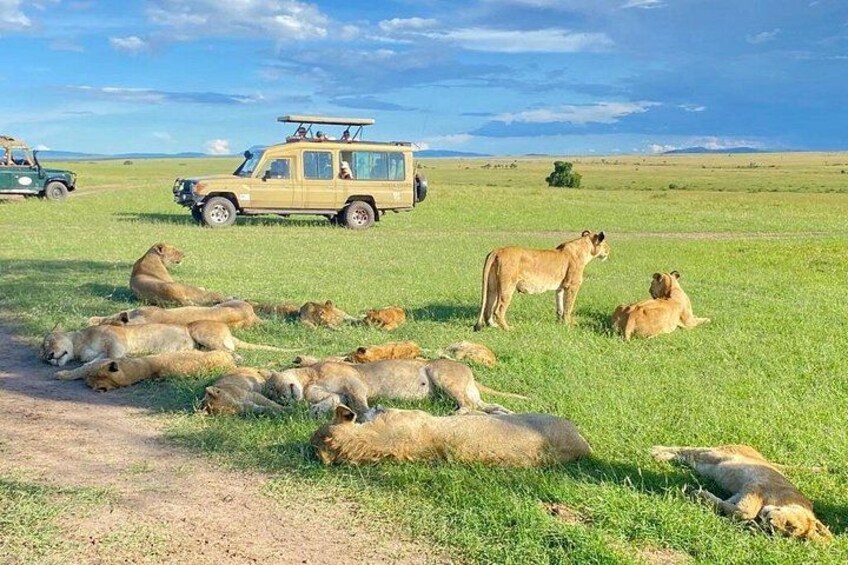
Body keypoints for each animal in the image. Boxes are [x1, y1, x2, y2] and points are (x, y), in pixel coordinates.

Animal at [474, 230, 610, 331]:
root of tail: (497, 251)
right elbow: (569, 306)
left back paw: (493, 326)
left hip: (492, 286)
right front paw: (569, 324)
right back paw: (508, 329)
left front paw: (559, 323)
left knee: (488, 308)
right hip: (507, 286)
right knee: (498, 310)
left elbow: (560, 307)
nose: (610, 251)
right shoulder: (572, 285)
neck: (584, 249)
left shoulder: (560, 287)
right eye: (606, 244)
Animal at [651, 445, 833, 543]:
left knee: (687, 456)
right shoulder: (756, 485)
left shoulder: (742, 493)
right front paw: (698, 493)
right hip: (717, 454)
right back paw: (656, 452)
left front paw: (703, 497)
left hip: (704, 463)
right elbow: (745, 512)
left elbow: (734, 508)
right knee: (689, 449)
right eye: (790, 526)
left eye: (780, 532)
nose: (770, 522)